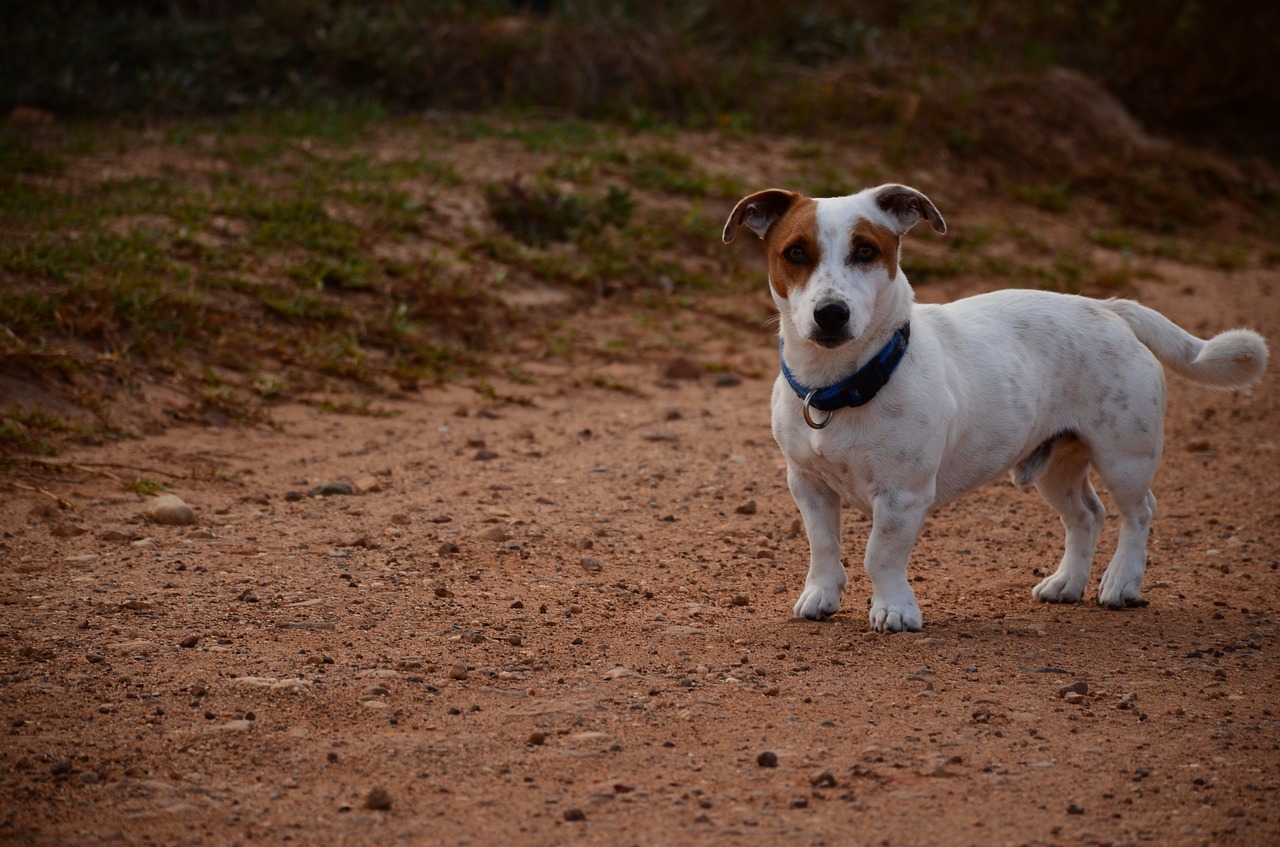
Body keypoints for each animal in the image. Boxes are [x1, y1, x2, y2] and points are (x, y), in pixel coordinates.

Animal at [727, 188, 1264, 637]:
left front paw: (895, 610)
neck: (841, 386)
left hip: (1124, 457)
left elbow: (880, 556)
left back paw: (1121, 583)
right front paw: (820, 596)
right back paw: (1067, 583)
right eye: (795, 253)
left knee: (1139, 512)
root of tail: (1109, 308)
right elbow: (823, 547)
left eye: (865, 251)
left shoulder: (902, 497)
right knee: (1087, 515)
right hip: (1056, 465)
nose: (831, 314)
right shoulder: (807, 485)